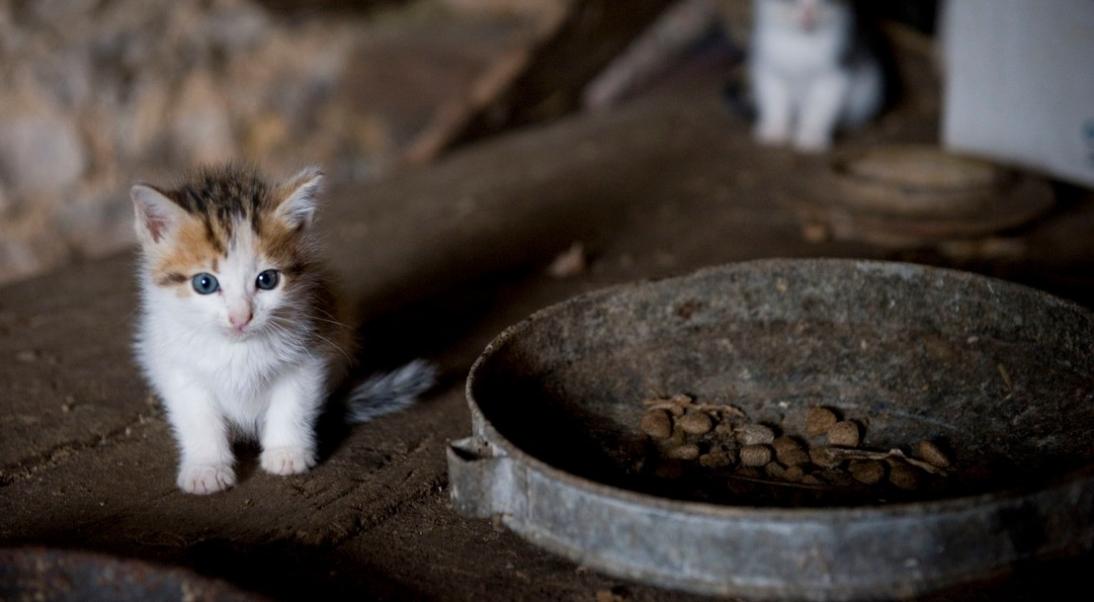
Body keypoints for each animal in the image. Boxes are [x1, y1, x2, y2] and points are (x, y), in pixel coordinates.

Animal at [130, 165, 433, 494]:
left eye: (267, 280)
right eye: (205, 283)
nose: (241, 318)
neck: (238, 348)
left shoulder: (312, 349)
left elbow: (293, 403)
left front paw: (287, 452)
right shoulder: (175, 363)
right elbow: (198, 417)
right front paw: (206, 467)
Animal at [748, 0, 883, 153]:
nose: (808, 13)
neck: (800, 43)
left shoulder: (833, 74)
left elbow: (820, 105)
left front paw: (811, 136)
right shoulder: (769, 67)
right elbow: (774, 98)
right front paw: (774, 129)